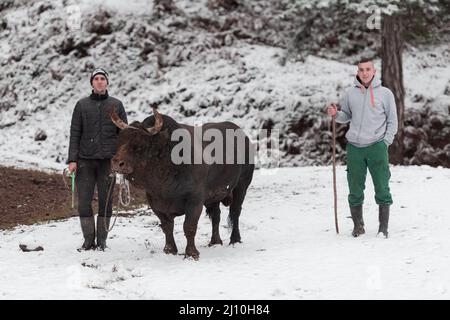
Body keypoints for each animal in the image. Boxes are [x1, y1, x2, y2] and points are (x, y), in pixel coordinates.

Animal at [110, 108, 255, 260]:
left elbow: (189, 226)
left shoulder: (195, 200)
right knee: (216, 215)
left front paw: (191, 253)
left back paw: (235, 239)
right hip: (214, 195)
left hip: (242, 185)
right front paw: (169, 249)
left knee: (235, 212)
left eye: (139, 145)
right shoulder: (155, 202)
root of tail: (243, 135)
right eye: (119, 141)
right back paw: (215, 241)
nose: (117, 163)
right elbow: (167, 226)